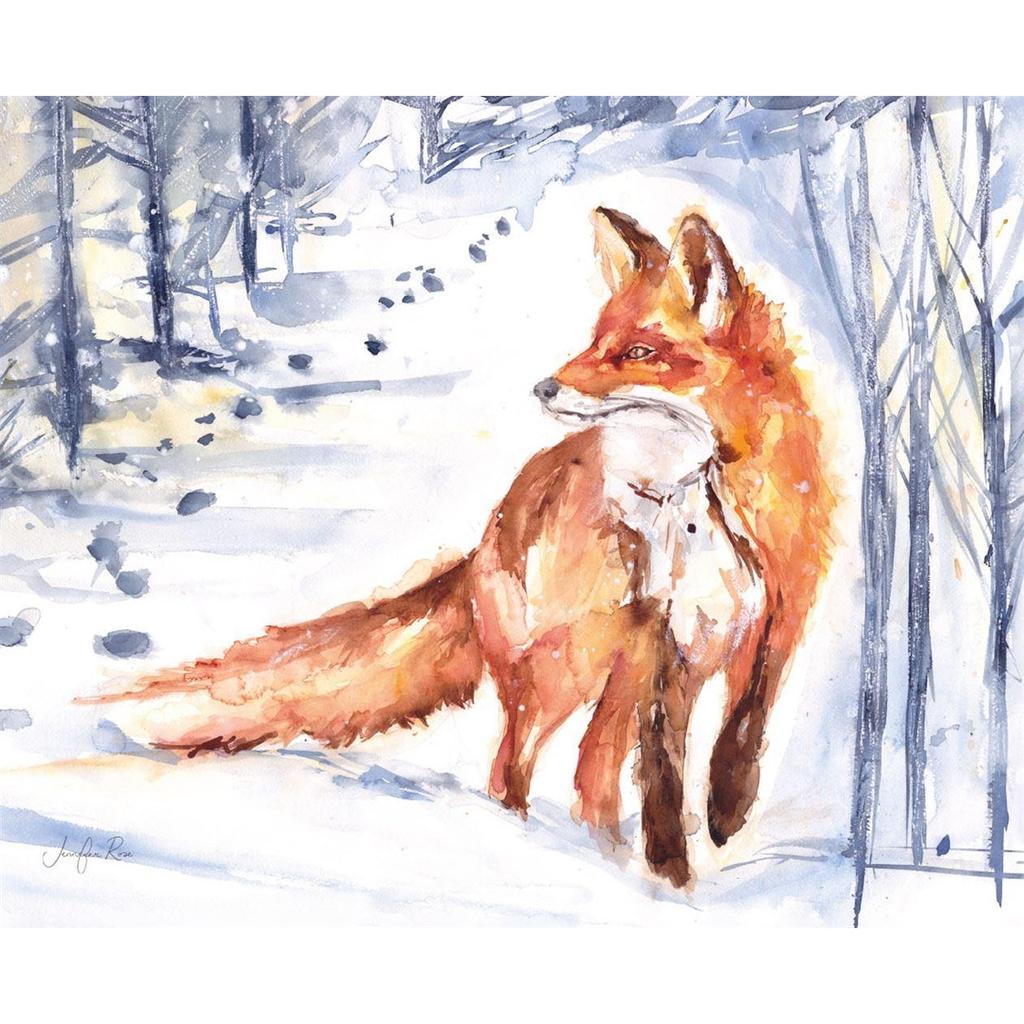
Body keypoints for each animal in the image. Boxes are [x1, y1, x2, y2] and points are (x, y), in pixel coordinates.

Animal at [80, 207, 834, 887]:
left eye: (639, 353)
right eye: (594, 340)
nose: (544, 387)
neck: (702, 501)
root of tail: (484, 539)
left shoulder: (777, 616)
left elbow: (744, 724)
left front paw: (725, 816)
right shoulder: (660, 644)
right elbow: (662, 777)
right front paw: (671, 876)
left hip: (597, 675)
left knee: (588, 774)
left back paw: (599, 851)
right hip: (568, 672)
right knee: (515, 769)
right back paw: (531, 847)